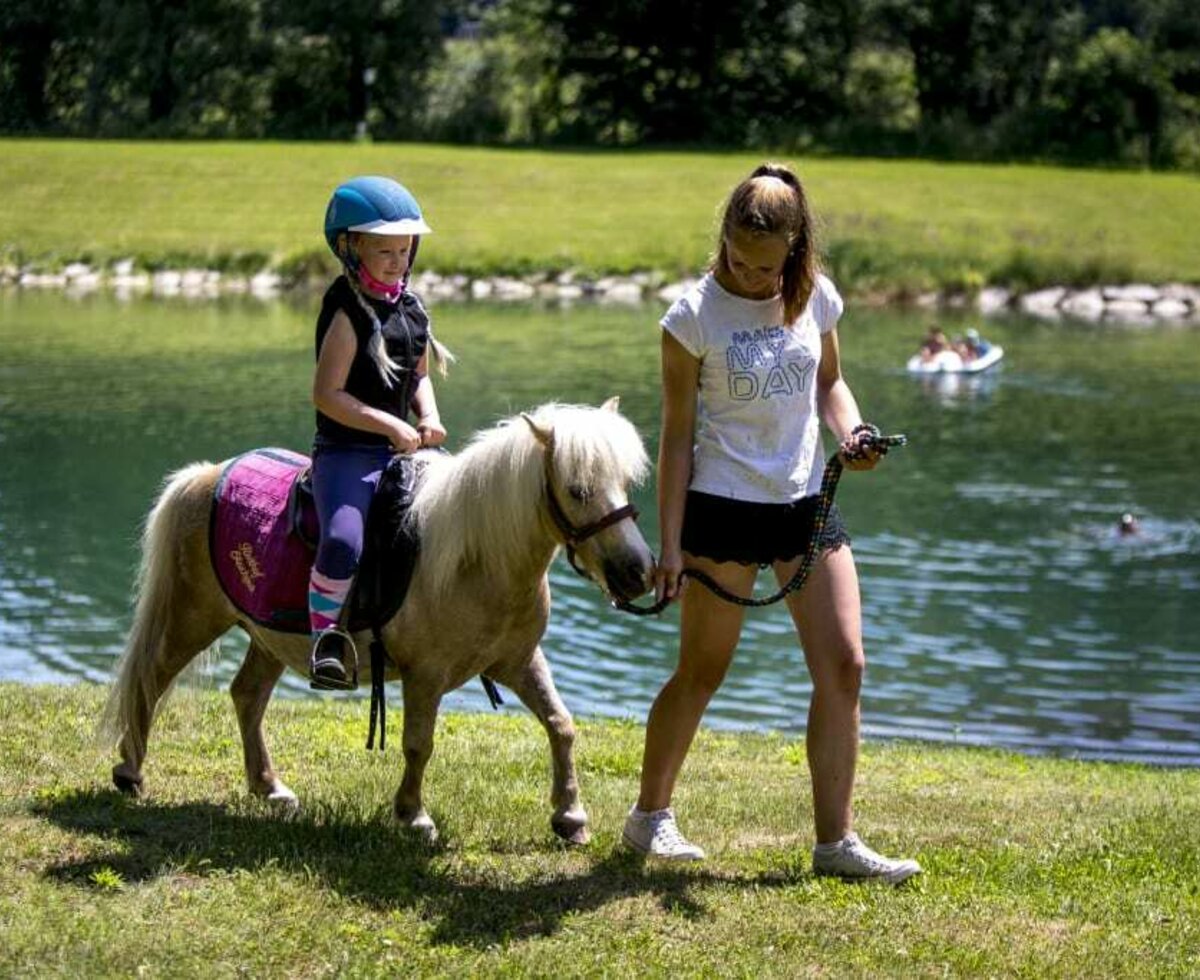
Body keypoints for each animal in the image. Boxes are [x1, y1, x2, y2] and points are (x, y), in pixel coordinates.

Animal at [100, 398, 657, 839]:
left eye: (625, 482)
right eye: (578, 490)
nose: (638, 572)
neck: (475, 559)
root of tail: (206, 475)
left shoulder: (519, 661)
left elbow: (561, 725)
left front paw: (570, 816)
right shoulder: (425, 675)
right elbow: (418, 744)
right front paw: (413, 816)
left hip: (270, 636)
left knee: (247, 696)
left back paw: (269, 787)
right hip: (194, 615)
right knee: (150, 680)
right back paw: (130, 771)